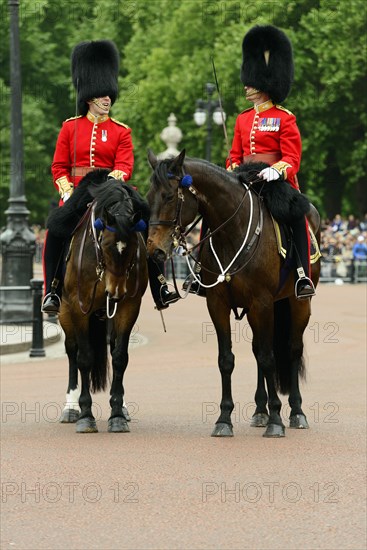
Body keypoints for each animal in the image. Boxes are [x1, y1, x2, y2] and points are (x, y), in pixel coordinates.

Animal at [48, 172, 149, 436]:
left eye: (134, 246)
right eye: (105, 245)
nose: (115, 293)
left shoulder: (128, 307)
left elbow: (120, 356)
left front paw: (117, 415)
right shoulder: (78, 306)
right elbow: (84, 357)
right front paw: (85, 415)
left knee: (111, 348)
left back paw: (121, 407)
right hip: (64, 312)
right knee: (72, 351)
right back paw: (71, 407)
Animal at [148, 150, 320, 440]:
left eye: (170, 196)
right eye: (149, 198)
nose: (154, 250)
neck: (232, 232)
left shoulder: (262, 302)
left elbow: (269, 358)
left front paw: (277, 420)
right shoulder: (219, 304)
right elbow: (227, 360)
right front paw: (224, 418)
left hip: (298, 303)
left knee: (292, 350)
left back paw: (296, 412)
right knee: (258, 350)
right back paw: (260, 411)